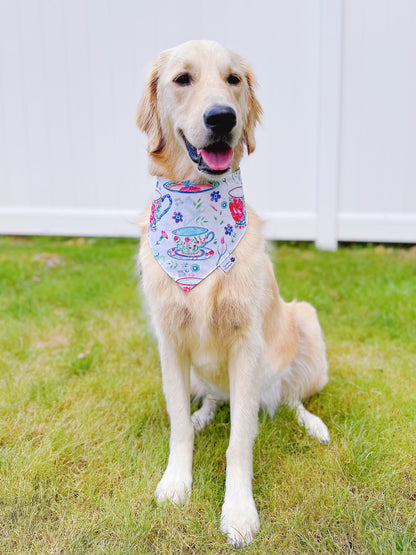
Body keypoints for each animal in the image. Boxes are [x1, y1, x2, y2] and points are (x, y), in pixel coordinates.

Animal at [138, 41, 330, 548]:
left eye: (233, 80)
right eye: (182, 79)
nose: (222, 118)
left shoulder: (247, 345)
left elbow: (240, 441)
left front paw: (239, 511)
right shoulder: (170, 341)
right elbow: (177, 424)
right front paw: (176, 481)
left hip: (306, 324)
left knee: (288, 398)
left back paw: (314, 424)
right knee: (210, 399)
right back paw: (203, 414)